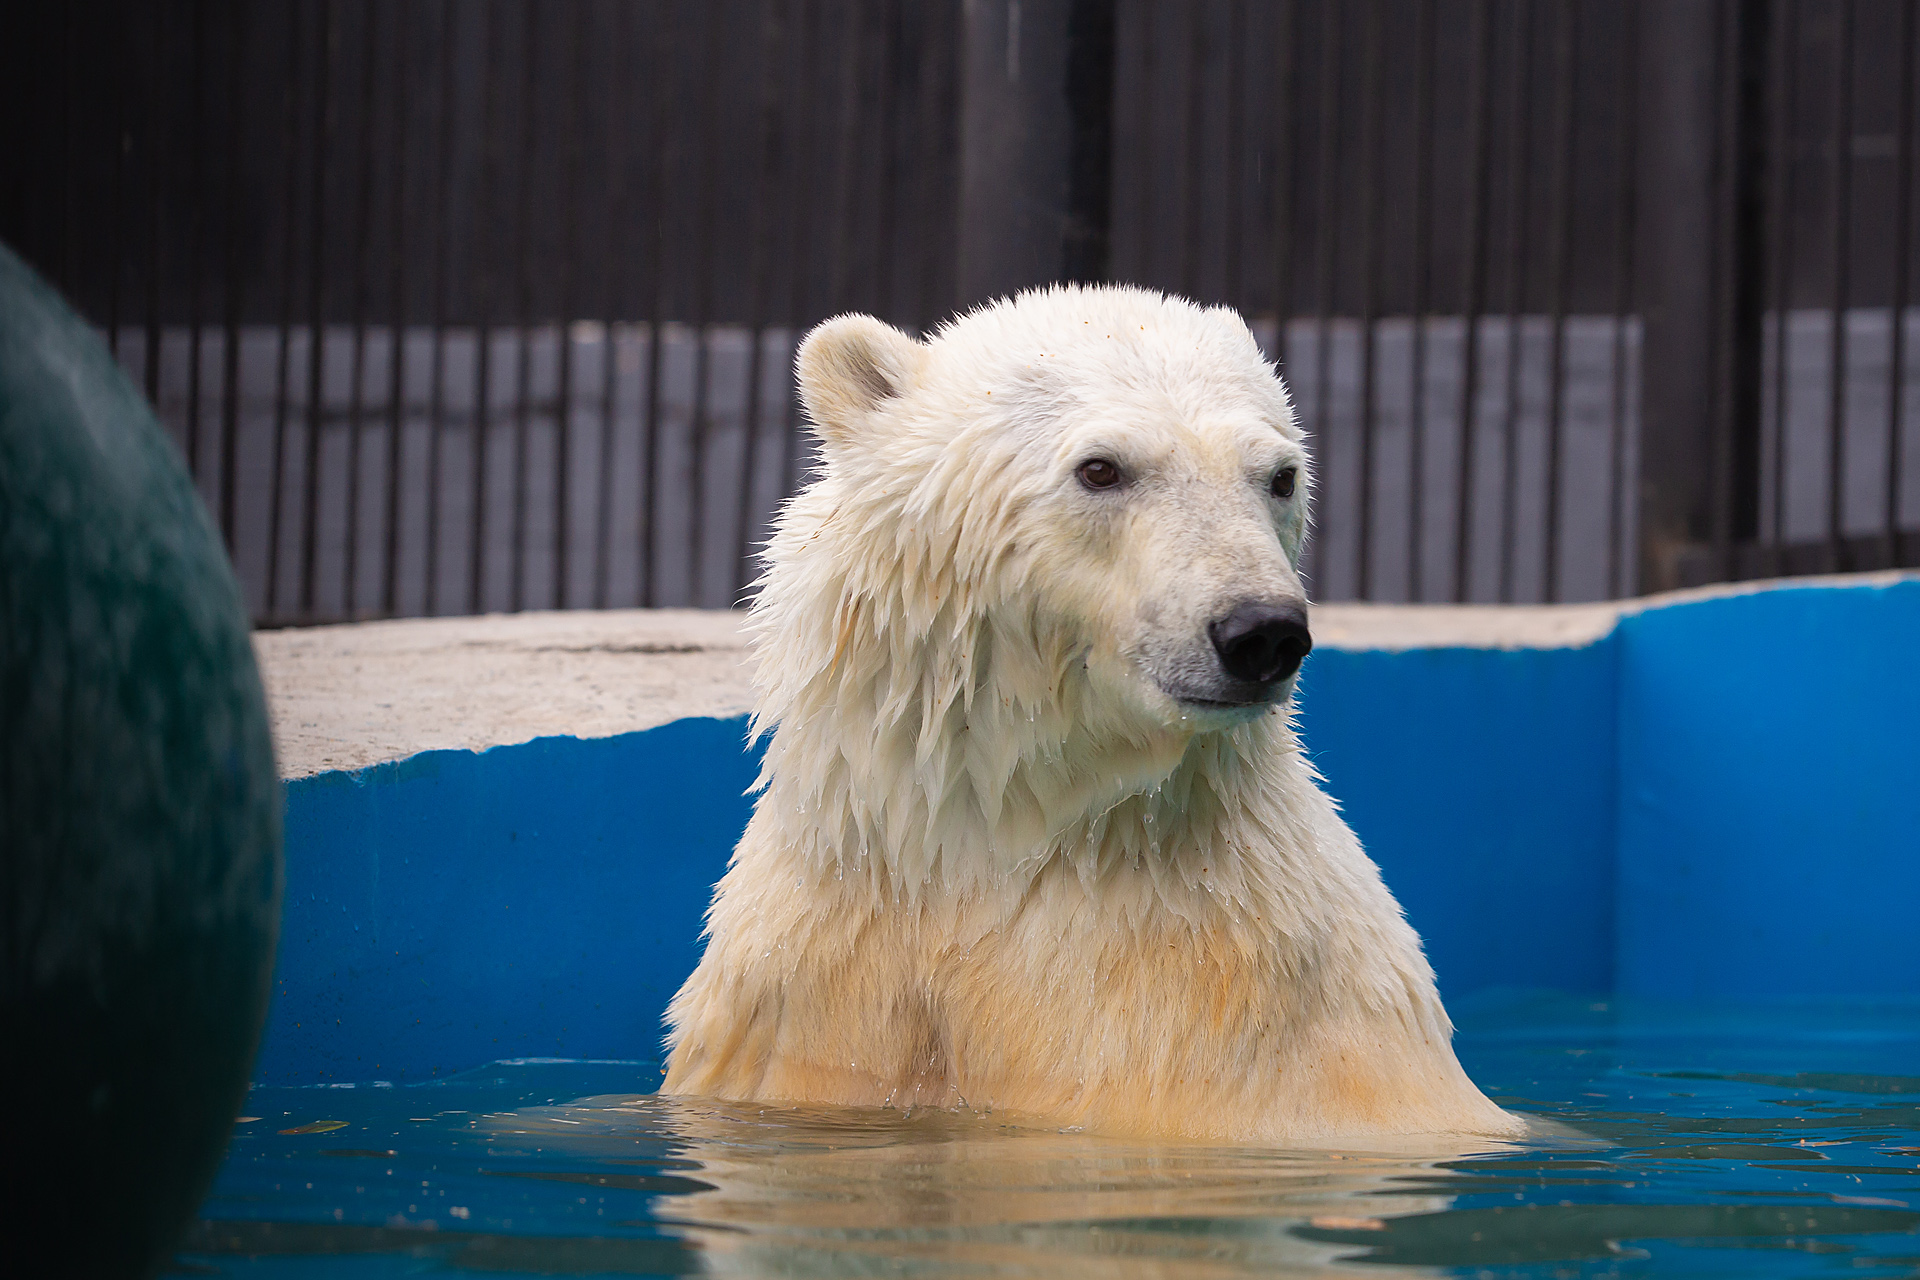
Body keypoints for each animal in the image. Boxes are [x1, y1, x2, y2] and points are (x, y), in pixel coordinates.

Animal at [668, 285, 1520, 1143]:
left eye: (1280, 476)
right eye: (1102, 468)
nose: (1262, 632)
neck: (997, 846)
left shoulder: (1216, 1017)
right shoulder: (811, 985)